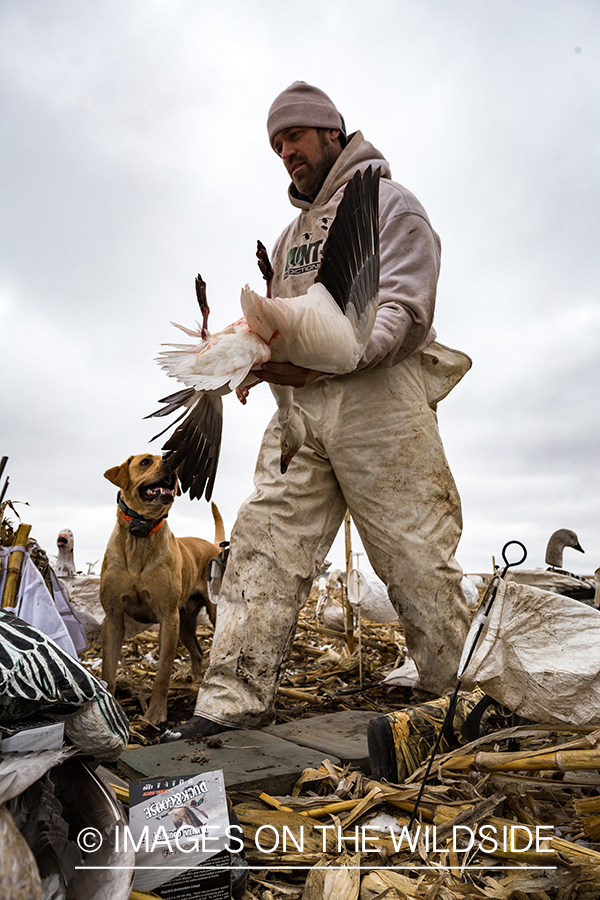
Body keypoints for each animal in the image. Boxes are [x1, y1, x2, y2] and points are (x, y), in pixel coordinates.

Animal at [99, 458, 224, 724]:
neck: (140, 537)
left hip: (211, 612)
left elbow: (163, 671)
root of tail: (213, 546)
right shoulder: (113, 618)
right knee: (197, 652)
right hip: (185, 622)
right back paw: (194, 679)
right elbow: (108, 669)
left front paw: (155, 713)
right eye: (145, 461)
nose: (173, 464)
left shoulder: (168, 618)